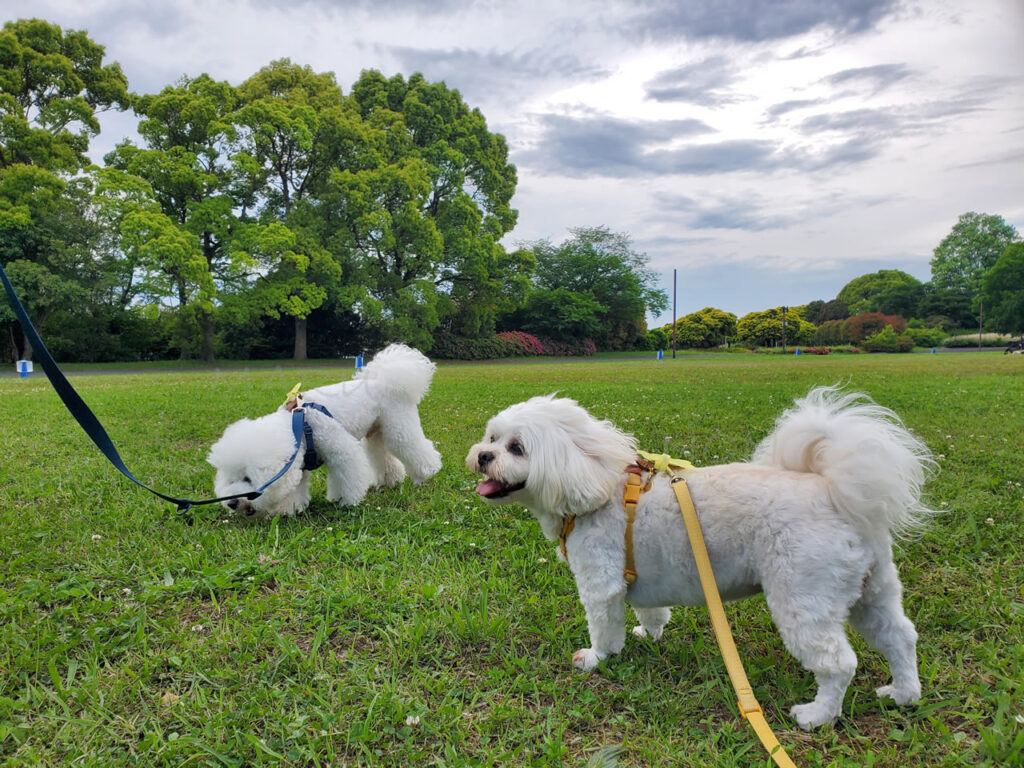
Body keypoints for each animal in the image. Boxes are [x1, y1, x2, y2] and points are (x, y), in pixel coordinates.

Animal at [209, 346, 442, 520]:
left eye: (248, 478)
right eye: (229, 480)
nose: (232, 503)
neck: (299, 426)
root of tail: (384, 380)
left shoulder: (341, 450)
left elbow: (348, 475)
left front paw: (347, 500)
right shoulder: (301, 464)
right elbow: (297, 488)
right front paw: (288, 509)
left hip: (399, 427)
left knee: (412, 447)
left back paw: (426, 473)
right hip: (377, 433)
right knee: (382, 455)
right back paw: (390, 480)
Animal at [466, 387, 937, 729]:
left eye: (517, 448)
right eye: (491, 438)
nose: (484, 456)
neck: (596, 484)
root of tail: (833, 491)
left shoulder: (600, 583)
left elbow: (603, 629)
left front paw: (596, 659)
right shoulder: (638, 578)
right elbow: (650, 611)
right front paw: (649, 633)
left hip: (804, 598)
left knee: (839, 663)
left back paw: (817, 716)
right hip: (870, 590)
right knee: (900, 637)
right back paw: (903, 694)